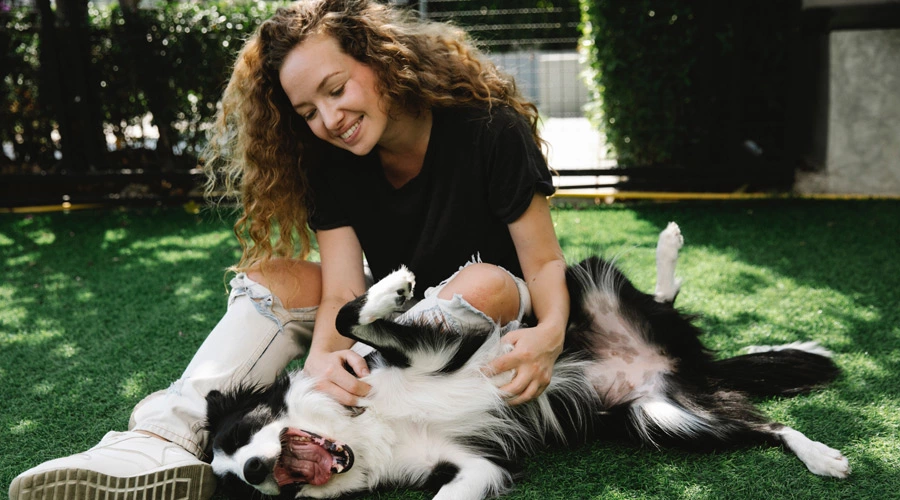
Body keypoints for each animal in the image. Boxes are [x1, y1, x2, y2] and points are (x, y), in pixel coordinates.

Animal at [206, 225, 852, 498]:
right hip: (666, 415)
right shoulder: (470, 464)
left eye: (243, 432)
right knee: (761, 423)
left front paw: (393, 285)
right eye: (238, 483)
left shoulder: (430, 353)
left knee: (666, 304)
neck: (365, 430)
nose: (257, 472)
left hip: (588, 284)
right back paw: (820, 455)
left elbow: (348, 319)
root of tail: (688, 364)